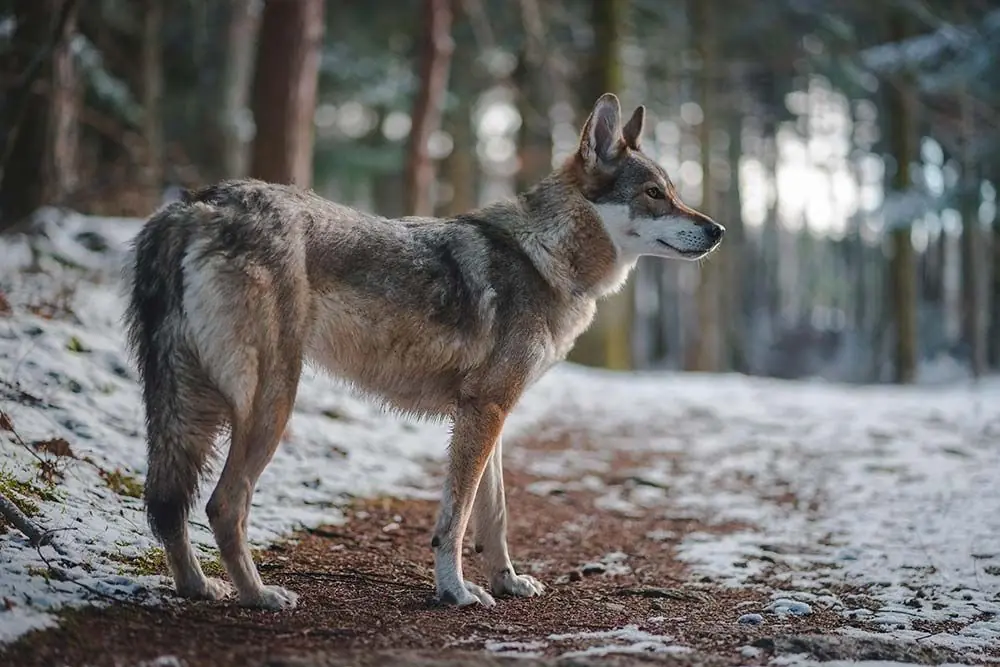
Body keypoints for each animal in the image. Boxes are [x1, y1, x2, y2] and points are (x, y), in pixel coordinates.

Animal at [122, 92, 724, 611]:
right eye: (654, 194)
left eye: (673, 191)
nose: (718, 229)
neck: (545, 257)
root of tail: (194, 204)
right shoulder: (484, 411)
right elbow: (454, 520)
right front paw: (455, 592)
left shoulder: (491, 412)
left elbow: (494, 515)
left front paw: (506, 582)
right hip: (270, 401)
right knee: (223, 504)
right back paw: (259, 595)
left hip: (187, 405)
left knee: (168, 504)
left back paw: (198, 587)